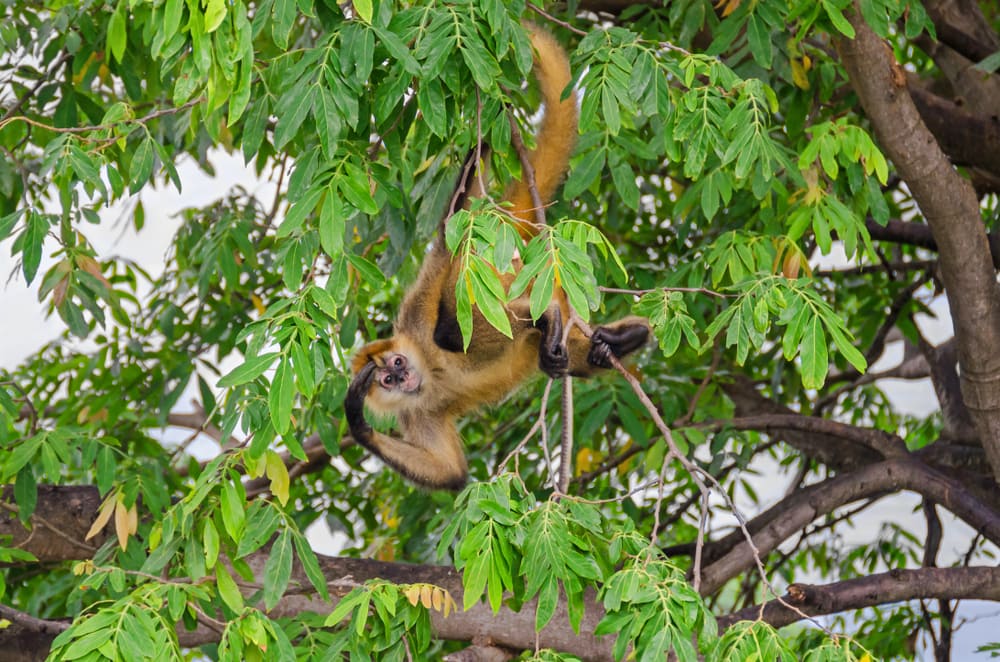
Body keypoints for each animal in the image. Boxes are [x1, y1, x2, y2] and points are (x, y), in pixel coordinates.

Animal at [345, 23, 650, 490]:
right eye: (387, 378)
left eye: (396, 363)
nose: (402, 376)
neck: (425, 374)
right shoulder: (414, 412)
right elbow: (451, 474)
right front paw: (356, 417)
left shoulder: (416, 313)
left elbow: (448, 234)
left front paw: (481, 136)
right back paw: (621, 339)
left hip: (502, 272)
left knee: (451, 326)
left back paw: (552, 320)